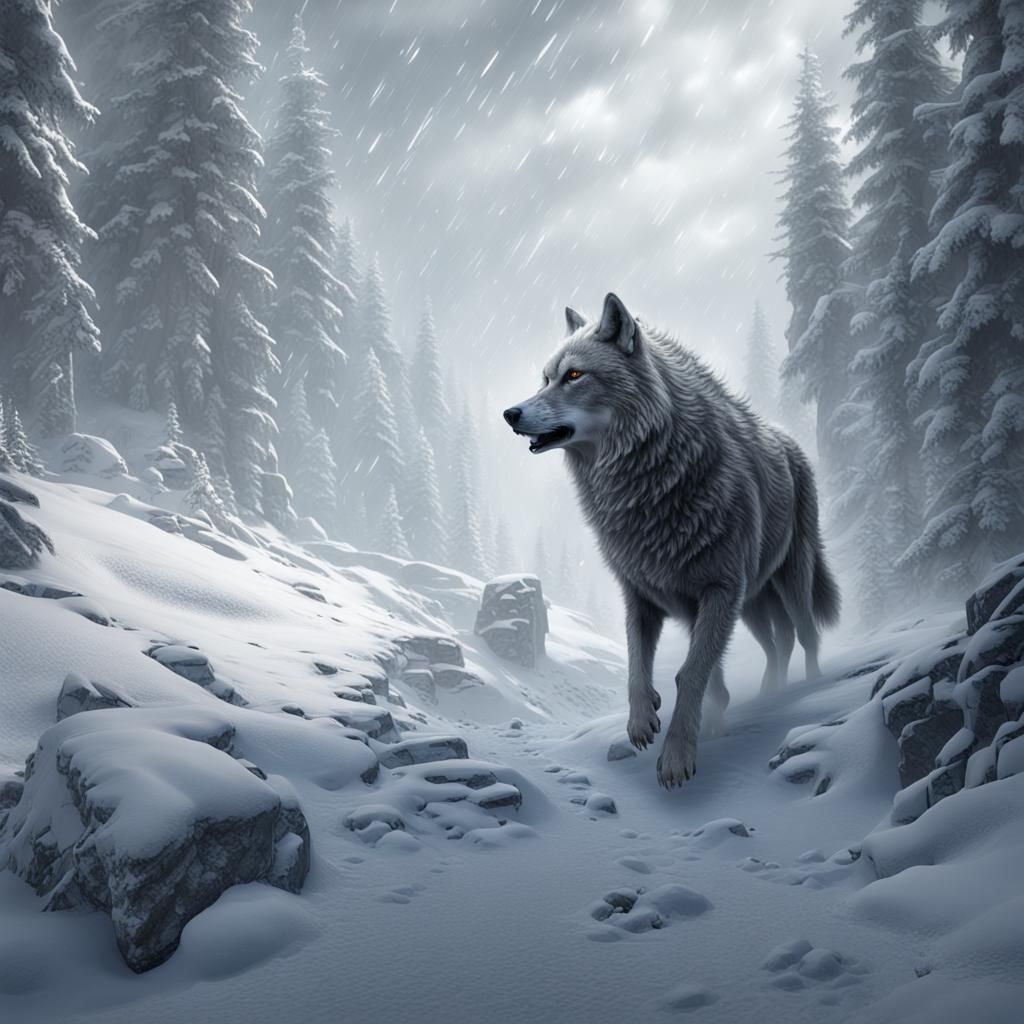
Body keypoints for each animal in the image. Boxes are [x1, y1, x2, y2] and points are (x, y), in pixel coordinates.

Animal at [503, 293, 840, 788]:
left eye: (574, 376)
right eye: (545, 378)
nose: (510, 413)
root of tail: (792, 442)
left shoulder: (718, 592)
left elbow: (691, 673)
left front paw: (678, 757)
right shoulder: (646, 594)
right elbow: (641, 666)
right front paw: (645, 720)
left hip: (789, 583)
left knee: (808, 637)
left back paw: (808, 688)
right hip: (753, 605)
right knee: (777, 645)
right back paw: (769, 693)